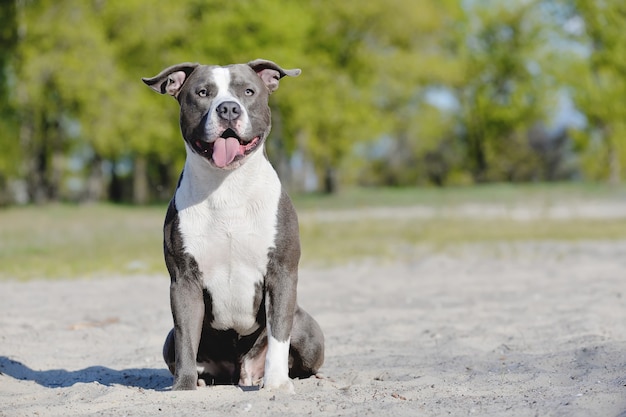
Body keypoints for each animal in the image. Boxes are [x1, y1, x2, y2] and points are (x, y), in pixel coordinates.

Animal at [142, 60, 324, 392]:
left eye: (248, 91)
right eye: (202, 92)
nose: (228, 108)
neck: (227, 186)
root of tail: (239, 372)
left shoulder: (281, 272)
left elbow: (279, 335)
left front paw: (277, 384)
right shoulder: (184, 280)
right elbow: (186, 337)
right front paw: (183, 387)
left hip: (308, 334)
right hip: (169, 341)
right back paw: (202, 380)